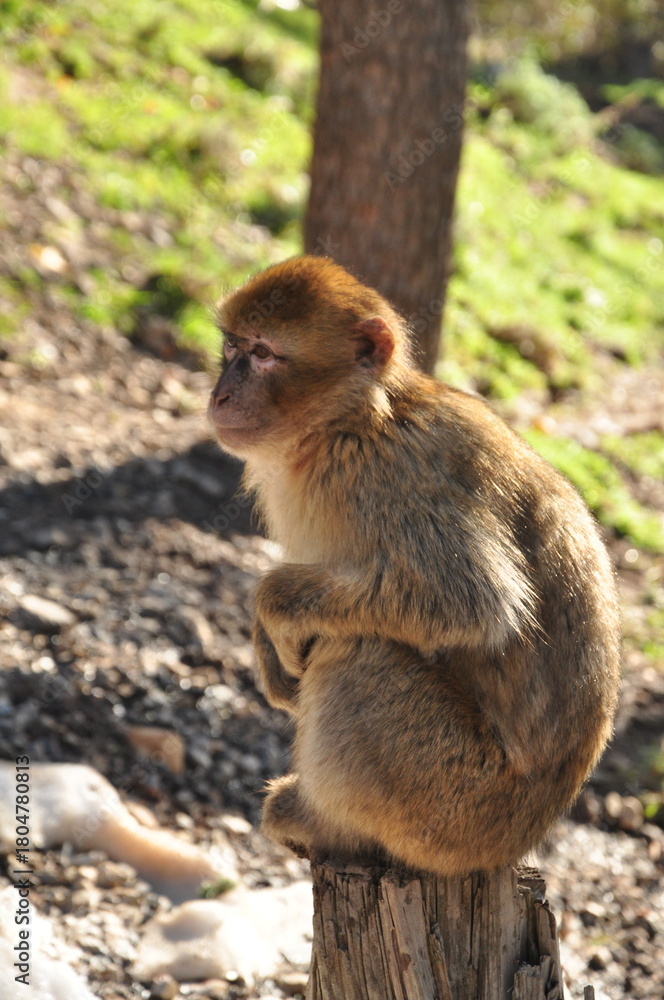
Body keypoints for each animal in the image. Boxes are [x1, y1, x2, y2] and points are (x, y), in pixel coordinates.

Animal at [208, 254, 621, 876]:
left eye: (263, 353)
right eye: (232, 346)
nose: (221, 395)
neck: (351, 423)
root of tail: (518, 842)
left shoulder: (396, 476)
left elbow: (472, 602)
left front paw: (272, 606)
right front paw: (269, 650)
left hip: (448, 801)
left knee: (361, 652)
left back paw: (324, 823)